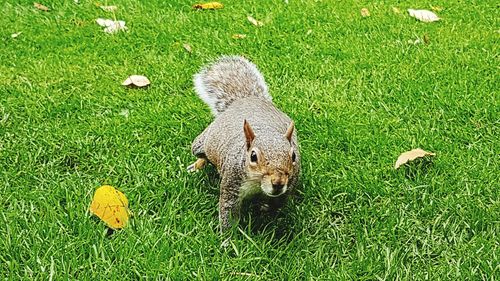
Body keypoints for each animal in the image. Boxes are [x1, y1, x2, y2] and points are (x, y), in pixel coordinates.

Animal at [186, 55, 298, 231]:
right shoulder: (232, 183)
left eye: (293, 156)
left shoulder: (288, 187)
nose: (278, 182)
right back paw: (196, 166)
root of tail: (246, 100)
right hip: (201, 142)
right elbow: (228, 211)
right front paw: (227, 237)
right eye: (253, 156)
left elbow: (277, 205)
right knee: (202, 154)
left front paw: (266, 212)